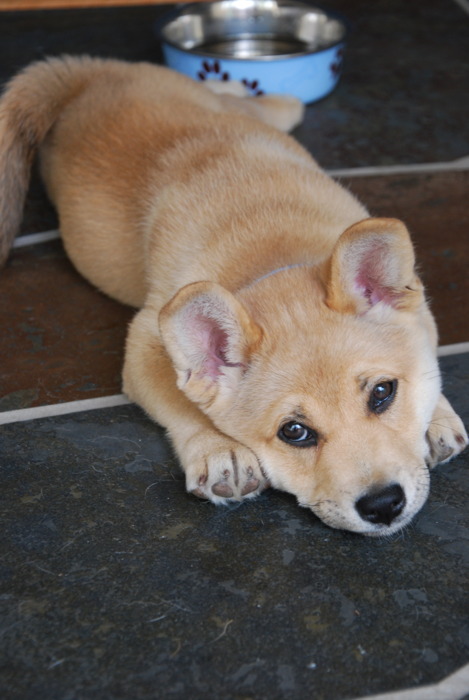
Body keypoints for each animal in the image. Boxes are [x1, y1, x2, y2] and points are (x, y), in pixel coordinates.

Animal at [1, 57, 466, 536]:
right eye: (294, 432)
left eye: (383, 393)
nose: (384, 505)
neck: (273, 253)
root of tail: (92, 73)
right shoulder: (145, 341)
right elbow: (179, 400)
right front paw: (220, 451)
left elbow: (425, 353)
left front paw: (437, 414)